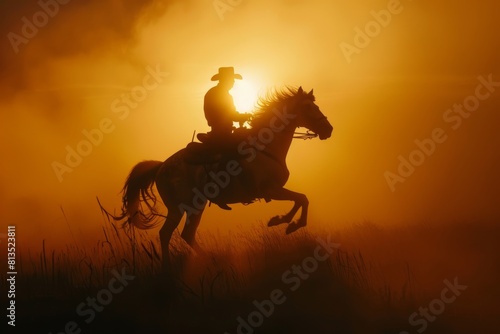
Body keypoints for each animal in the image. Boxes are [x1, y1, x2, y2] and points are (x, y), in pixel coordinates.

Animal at [119, 86, 334, 266]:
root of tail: (161, 166)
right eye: (308, 107)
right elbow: (302, 199)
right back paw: (173, 266)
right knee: (167, 234)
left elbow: (301, 199)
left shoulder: (274, 190)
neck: (266, 147)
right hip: (181, 207)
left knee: (185, 234)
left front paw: (283, 221)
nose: (329, 129)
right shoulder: (270, 189)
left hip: (192, 207)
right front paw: (288, 223)